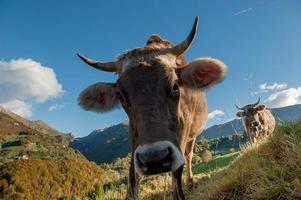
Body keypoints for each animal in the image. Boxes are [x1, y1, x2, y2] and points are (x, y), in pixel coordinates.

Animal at [76, 17, 226, 200]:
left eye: (175, 85)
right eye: (121, 96)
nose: (154, 158)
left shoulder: (184, 130)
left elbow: (177, 169)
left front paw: (178, 195)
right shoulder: (134, 134)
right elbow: (133, 174)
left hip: (193, 135)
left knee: (188, 156)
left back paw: (189, 182)